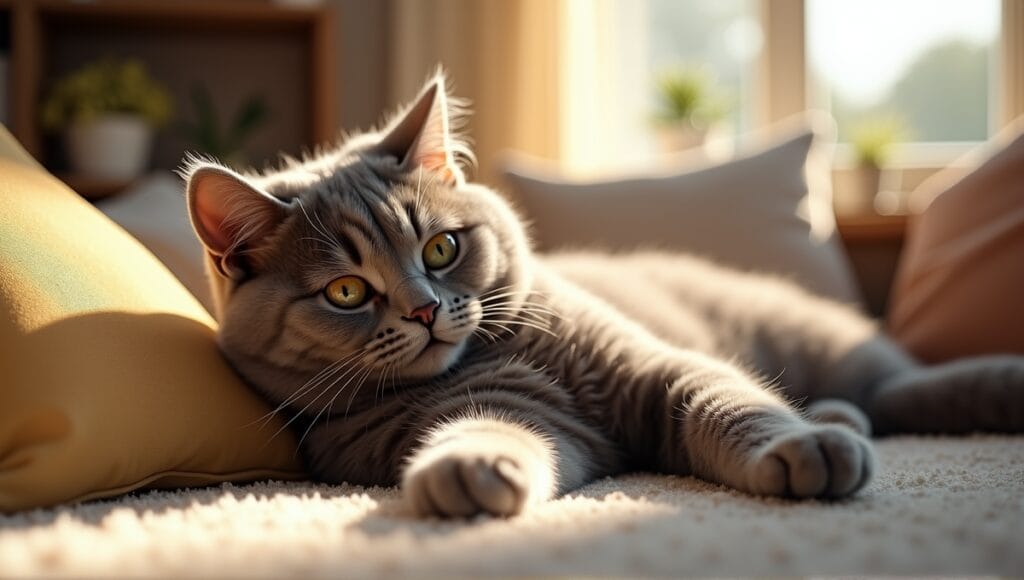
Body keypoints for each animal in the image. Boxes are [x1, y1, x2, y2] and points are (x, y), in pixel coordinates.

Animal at [184, 72, 1024, 518]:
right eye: (348, 291)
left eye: (441, 248)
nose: (424, 309)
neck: (506, 353)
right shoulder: (530, 419)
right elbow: (494, 429)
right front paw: (468, 471)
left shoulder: (650, 364)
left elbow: (730, 402)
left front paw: (798, 447)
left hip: (817, 339)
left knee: (904, 386)